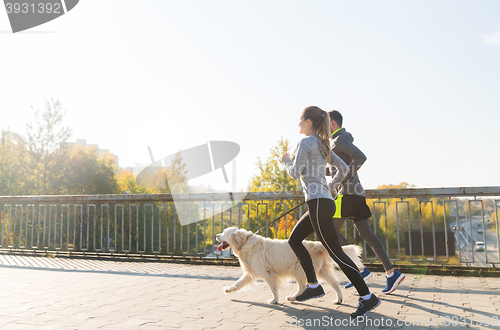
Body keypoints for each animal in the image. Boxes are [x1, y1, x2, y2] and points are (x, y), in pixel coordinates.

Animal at [216, 227, 364, 304]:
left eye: (224, 233)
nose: (217, 235)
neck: (245, 243)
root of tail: (315, 244)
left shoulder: (267, 273)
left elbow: (273, 289)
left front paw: (274, 300)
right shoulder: (250, 273)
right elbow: (238, 283)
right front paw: (228, 289)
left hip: (298, 271)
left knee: (303, 286)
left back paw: (294, 297)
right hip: (321, 271)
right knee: (335, 284)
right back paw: (338, 299)